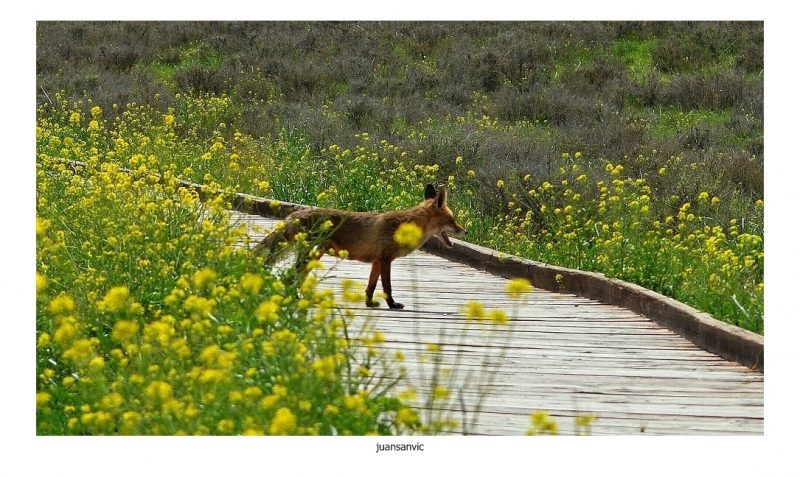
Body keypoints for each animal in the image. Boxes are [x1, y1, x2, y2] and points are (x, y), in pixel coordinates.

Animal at [253, 182, 466, 308]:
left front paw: (370, 304)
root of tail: (292, 216)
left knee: (295, 277)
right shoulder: (386, 259)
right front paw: (392, 304)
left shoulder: (377, 262)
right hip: (309, 255)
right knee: (290, 277)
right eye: (452, 220)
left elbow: (371, 287)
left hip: (314, 255)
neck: (404, 227)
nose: (465, 231)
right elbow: (387, 287)